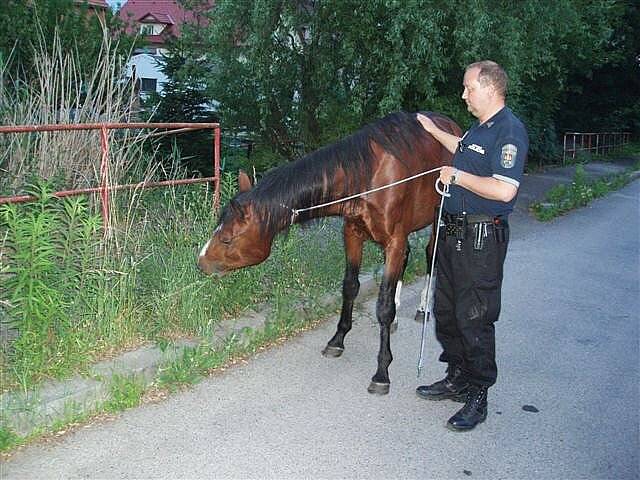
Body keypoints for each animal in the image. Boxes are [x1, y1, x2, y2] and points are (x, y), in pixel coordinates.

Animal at [196, 111, 460, 394]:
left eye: (226, 239)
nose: (201, 262)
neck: (368, 178)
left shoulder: (394, 241)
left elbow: (383, 306)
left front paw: (382, 371)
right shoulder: (352, 234)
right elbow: (350, 287)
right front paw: (338, 339)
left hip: (437, 218)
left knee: (430, 255)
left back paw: (423, 308)